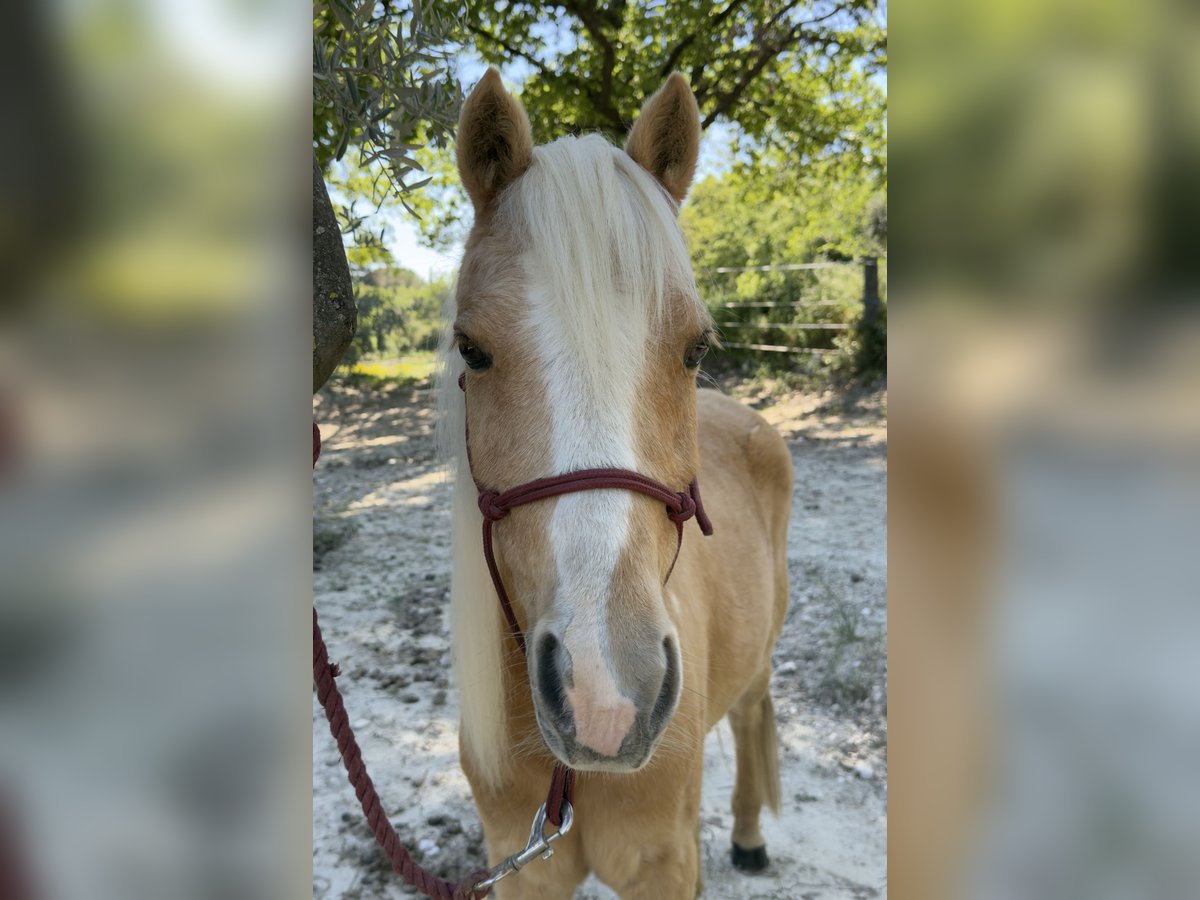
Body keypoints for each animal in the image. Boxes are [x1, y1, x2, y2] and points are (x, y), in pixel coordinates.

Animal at [439, 68, 793, 899]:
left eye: (698, 348)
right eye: (471, 349)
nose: (607, 695)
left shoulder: (664, 866)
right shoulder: (522, 869)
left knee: (752, 713)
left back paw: (750, 837)